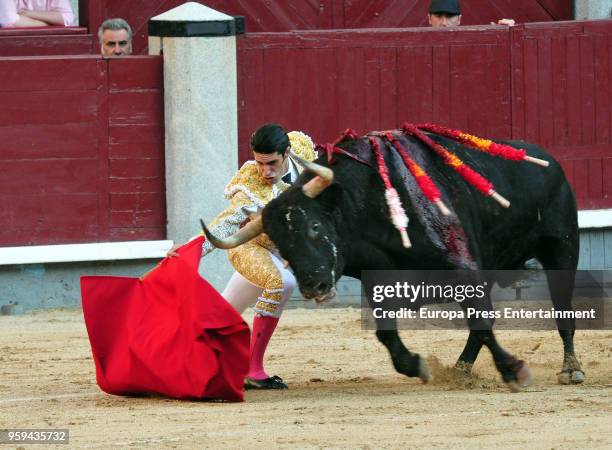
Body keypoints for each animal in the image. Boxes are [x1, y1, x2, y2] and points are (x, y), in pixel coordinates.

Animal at [213, 130, 584, 390]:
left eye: (315, 226)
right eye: (280, 244)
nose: (313, 285)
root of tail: (547, 159)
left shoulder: (464, 268)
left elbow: (482, 320)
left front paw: (513, 370)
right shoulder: (380, 281)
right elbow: (386, 334)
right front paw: (417, 365)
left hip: (562, 250)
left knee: (562, 311)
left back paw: (571, 369)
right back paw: (460, 370)